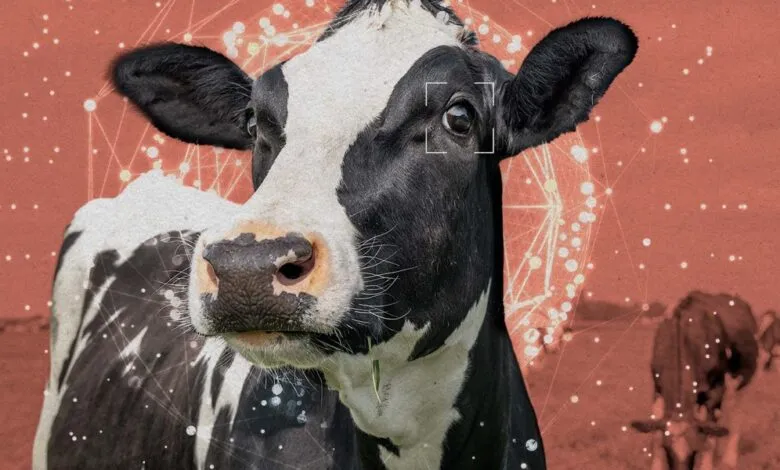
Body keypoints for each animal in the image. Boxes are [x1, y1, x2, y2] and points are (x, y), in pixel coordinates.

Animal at [630, 291, 760, 470]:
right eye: (666, 449)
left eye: (695, 450)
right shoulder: (657, 387)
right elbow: (655, 431)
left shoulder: (716, 389)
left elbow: (710, 435)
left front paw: (707, 464)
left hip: (742, 379)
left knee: (736, 412)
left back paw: (730, 458)